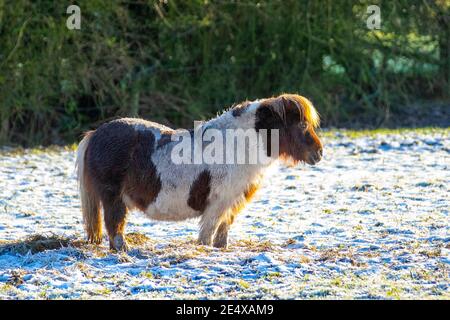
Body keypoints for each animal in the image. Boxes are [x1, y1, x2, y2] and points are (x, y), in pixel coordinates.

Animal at [77, 94, 324, 251]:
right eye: (302, 125)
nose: (319, 152)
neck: (238, 145)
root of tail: (96, 134)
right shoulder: (217, 204)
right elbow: (208, 234)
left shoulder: (233, 201)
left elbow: (223, 230)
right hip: (113, 197)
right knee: (114, 225)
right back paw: (124, 250)